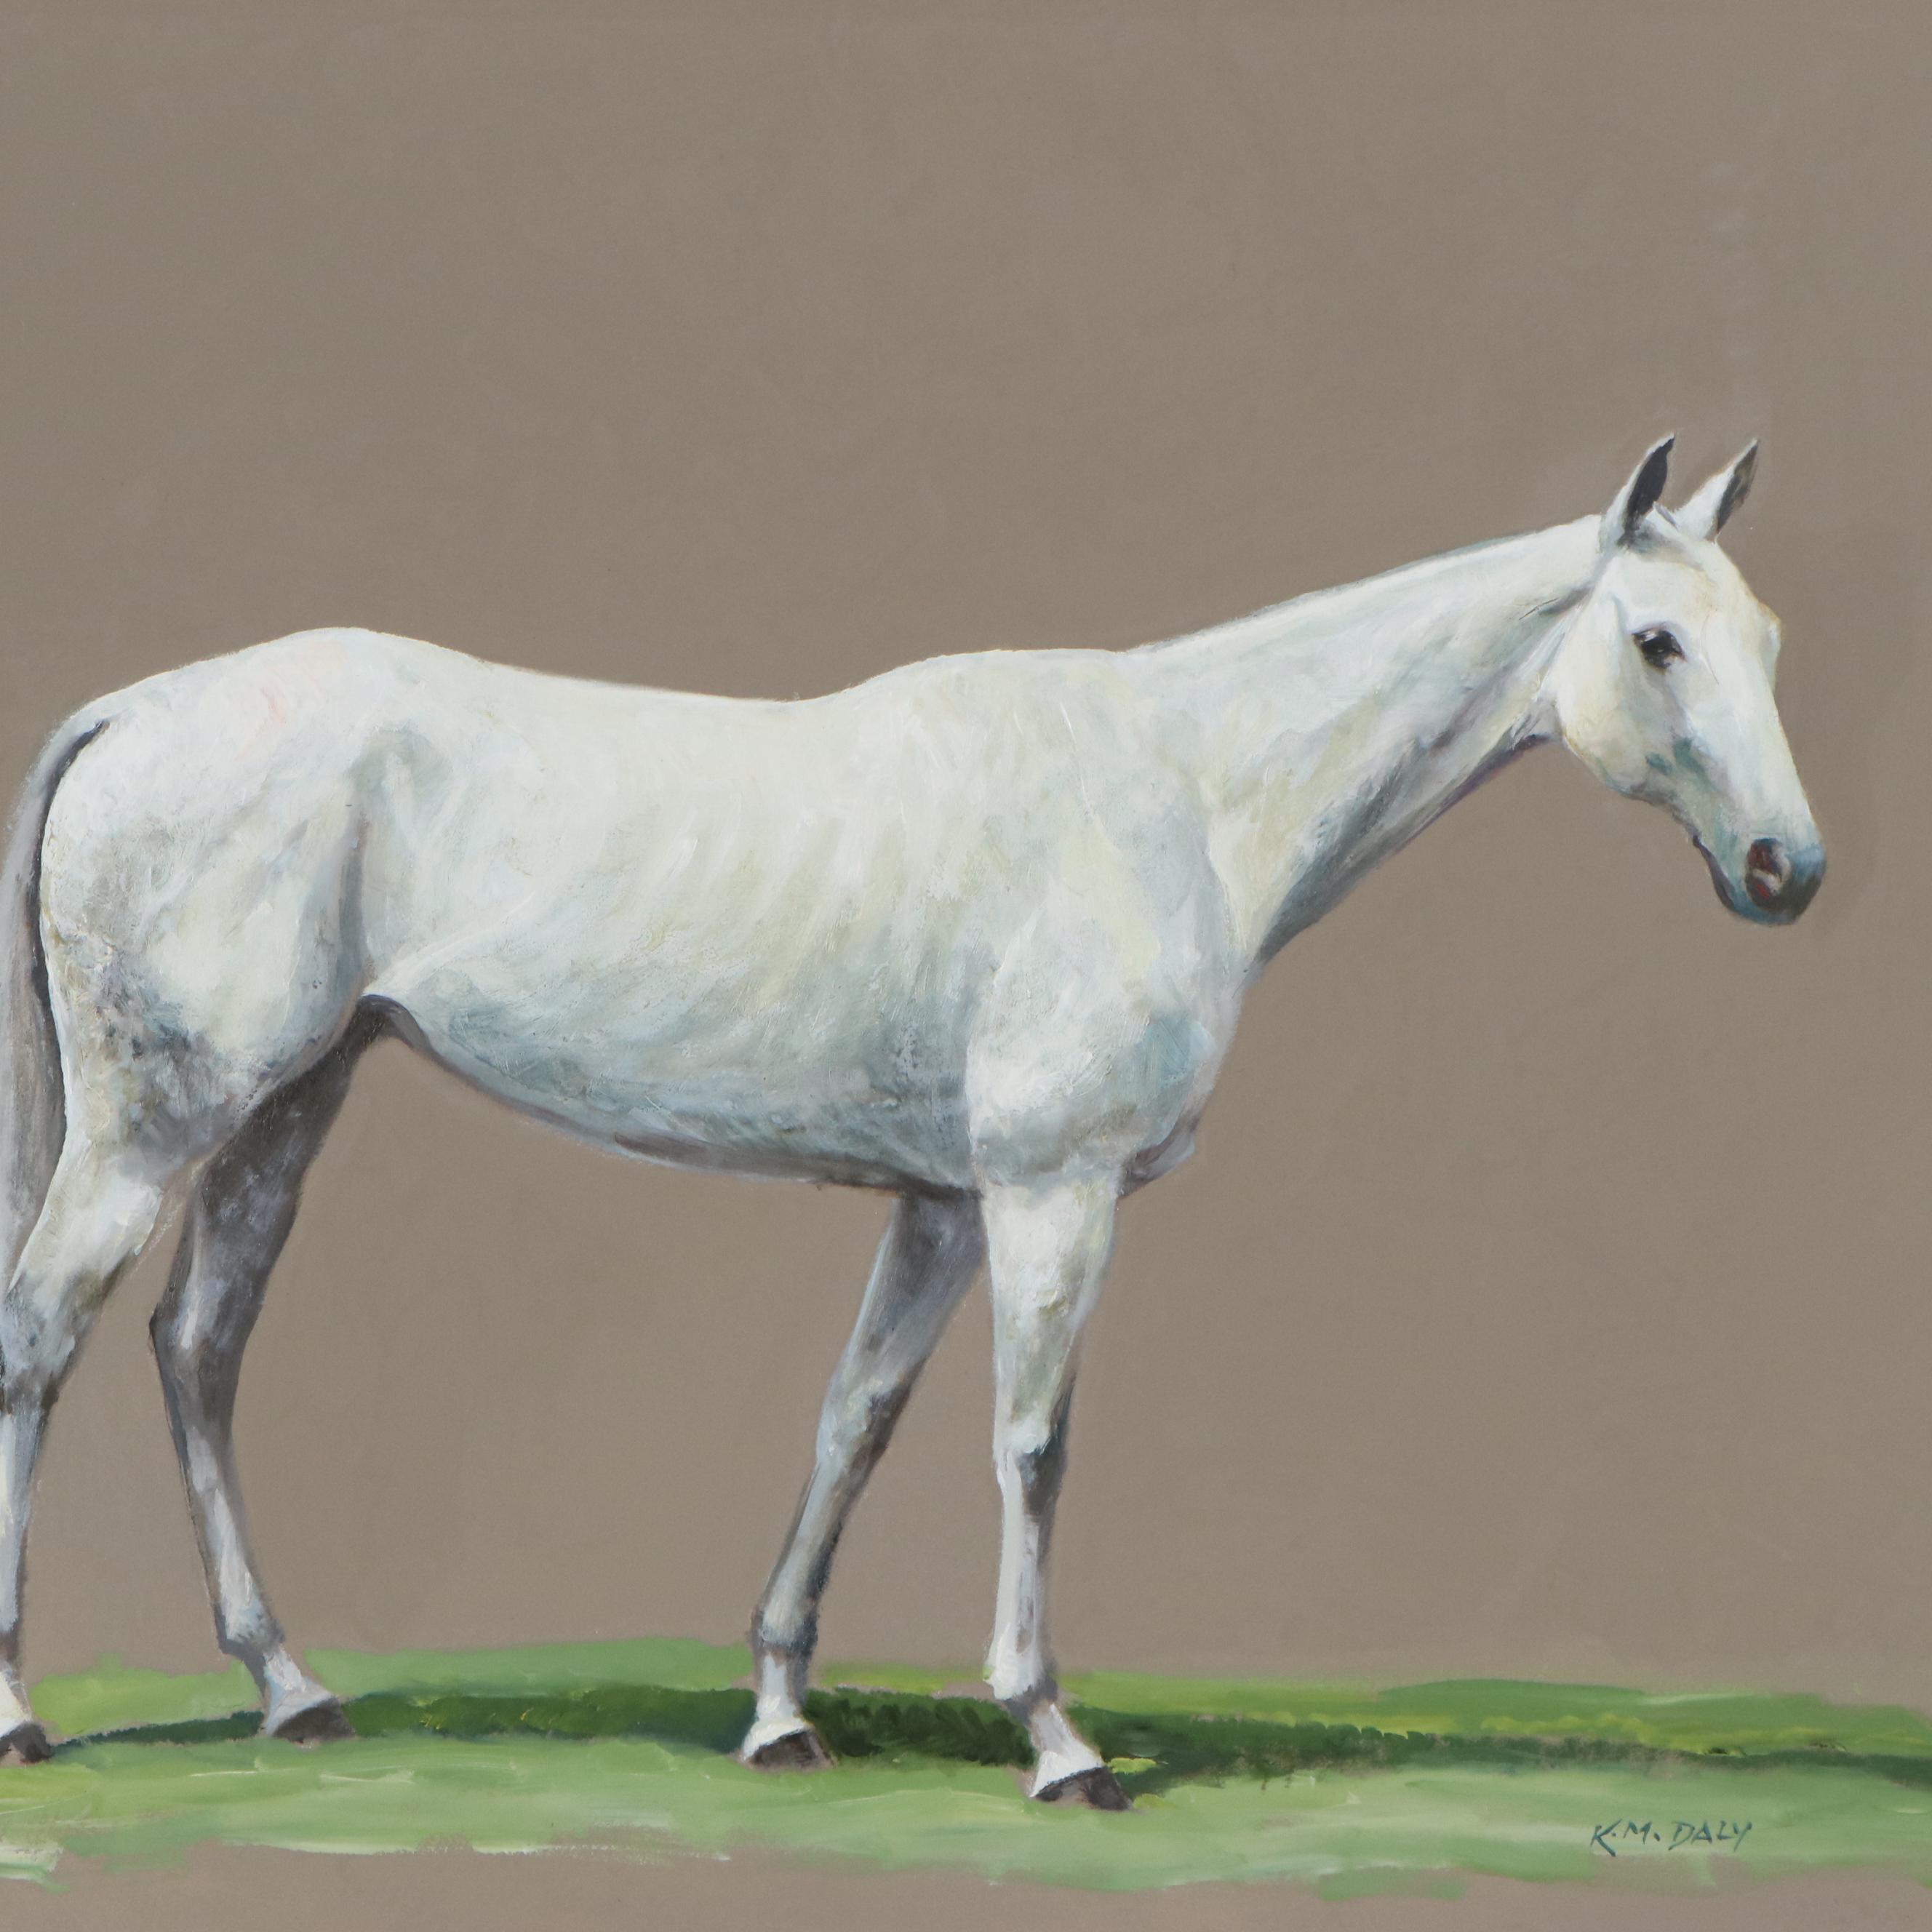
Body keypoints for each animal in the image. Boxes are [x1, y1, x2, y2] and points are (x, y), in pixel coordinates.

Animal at [0, 436, 1821, 1805]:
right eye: (1655, 641)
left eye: (1766, 640)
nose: (1785, 869)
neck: (1180, 791)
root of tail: (131, 712)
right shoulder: (1048, 1189)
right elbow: (1030, 1441)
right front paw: (1056, 1737)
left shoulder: (941, 1201)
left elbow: (853, 1420)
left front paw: (779, 1713)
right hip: (154, 1125)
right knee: (42, 1337)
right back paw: (29, 1711)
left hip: (286, 1106)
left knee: (197, 1346)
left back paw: (291, 1687)